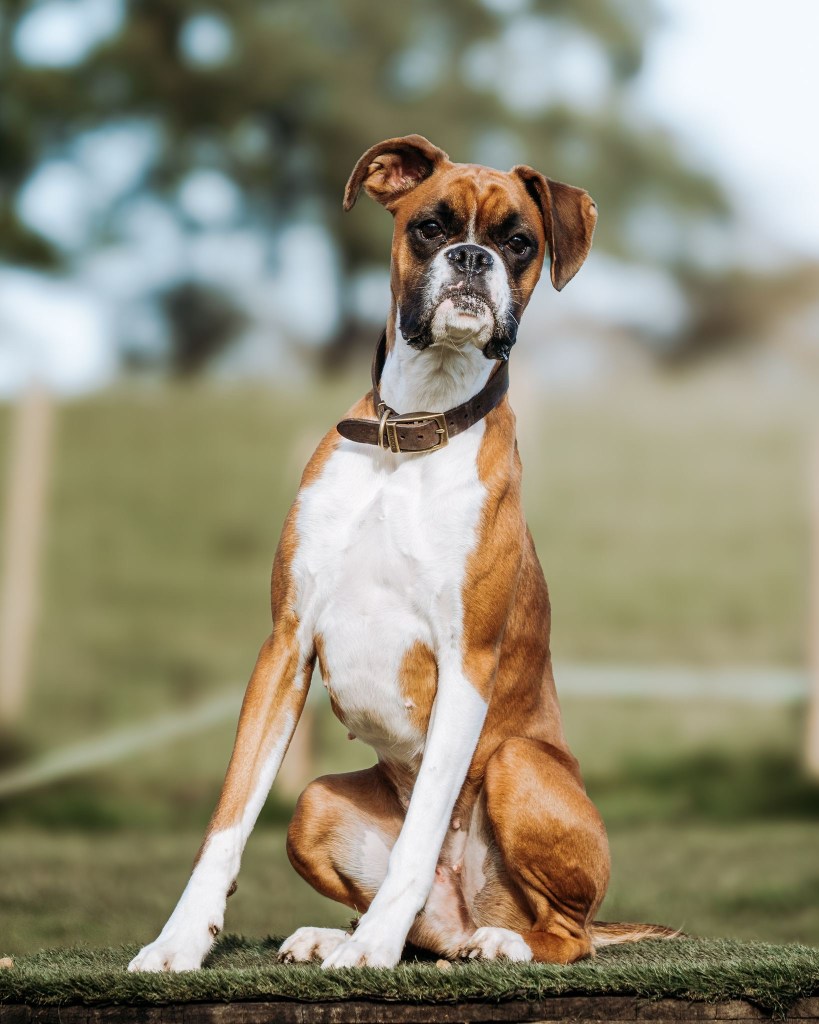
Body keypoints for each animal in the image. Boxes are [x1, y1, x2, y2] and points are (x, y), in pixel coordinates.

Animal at [129, 134, 674, 972]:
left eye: (519, 242)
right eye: (430, 226)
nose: (472, 257)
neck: (410, 434)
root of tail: (468, 910)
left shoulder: (465, 662)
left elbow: (418, 838)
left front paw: (372, 949)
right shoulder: (284, 647)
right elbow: (226, 822)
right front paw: (180, 941)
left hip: (517, 767)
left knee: (565, 933)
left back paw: (492, 943)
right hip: (313, 805)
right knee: (432, 931)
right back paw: (342, 934)